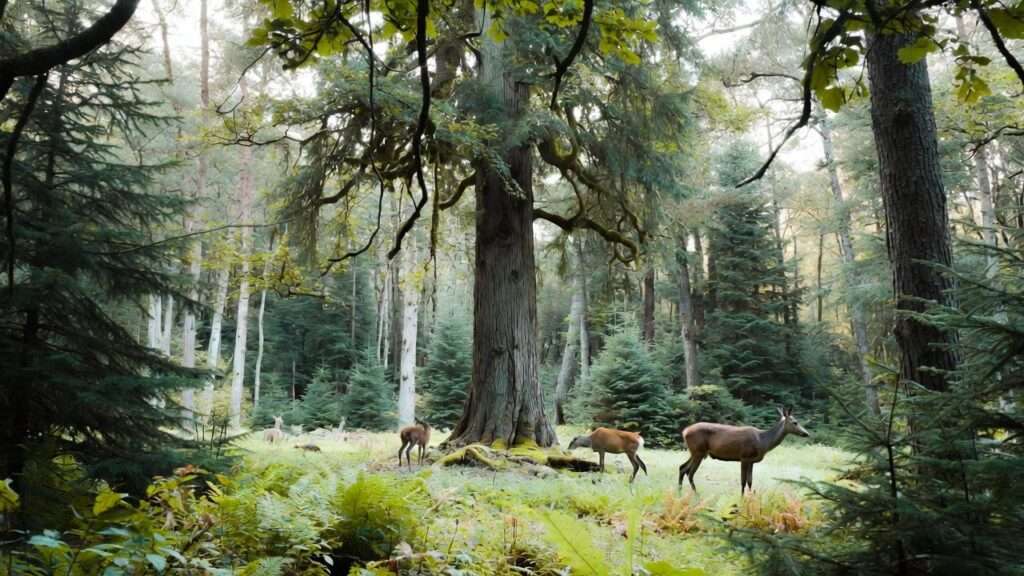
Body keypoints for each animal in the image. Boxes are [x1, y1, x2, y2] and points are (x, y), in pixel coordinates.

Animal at [678, 406, 810, 495]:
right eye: (795, 422)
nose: (806, 433)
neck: (763, 442)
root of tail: (684, 431)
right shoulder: (744, 457)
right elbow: (743, 481)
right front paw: (741, 499)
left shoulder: (752, 460)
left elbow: (750, 481)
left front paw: (750, 499)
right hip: (698, 451)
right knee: (690, 472)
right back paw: (697, 496)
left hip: (696, 452)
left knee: (682, 468)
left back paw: (679, 493)